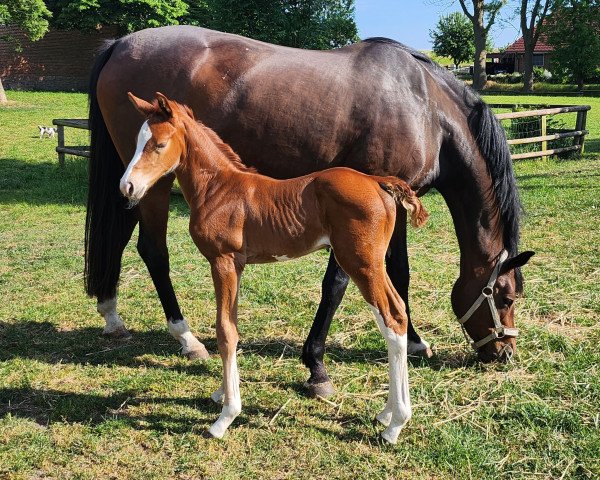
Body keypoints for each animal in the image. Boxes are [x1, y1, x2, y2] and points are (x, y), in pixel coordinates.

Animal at [85, 24, 536, 396]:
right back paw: (187, 338)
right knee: (153, 251)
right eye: (504, 295)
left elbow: (399, 273)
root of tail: (121, 44)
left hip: (134, 182)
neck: (424, 105)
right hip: (153, 181)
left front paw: (413, 341)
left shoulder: (393, 205)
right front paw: (316, 365)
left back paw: (112, 316)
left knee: (120, 240)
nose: (504, 353)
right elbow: (336, 285)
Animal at [119, 91, 426, 442]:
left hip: (361, 263)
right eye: (137, 140)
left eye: (158, 144)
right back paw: (386, 413)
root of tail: (377, 182)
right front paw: (222, 394)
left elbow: (225, 331)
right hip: (371, 264)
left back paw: (396, 424)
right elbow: (232, 325)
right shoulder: (236, 266)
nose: (127, 187)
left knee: (392, 318)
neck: (218, 188)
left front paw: (226, 415)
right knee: (394, 314)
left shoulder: (224, 261)